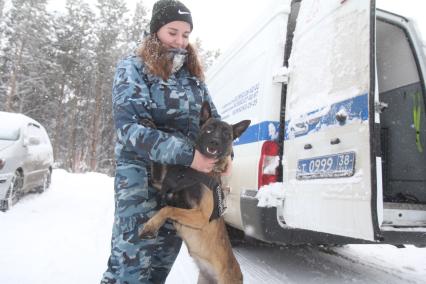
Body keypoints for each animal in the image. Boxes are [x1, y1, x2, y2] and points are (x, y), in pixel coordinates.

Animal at [140, 102, 250, 284]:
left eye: (227, 135)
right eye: (209, 129)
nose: (214, 142)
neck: (196, 172)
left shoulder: (201, 216)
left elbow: (168, 209)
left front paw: (150, 226)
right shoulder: (160, 183)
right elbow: (156, 166)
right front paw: (150, 125)